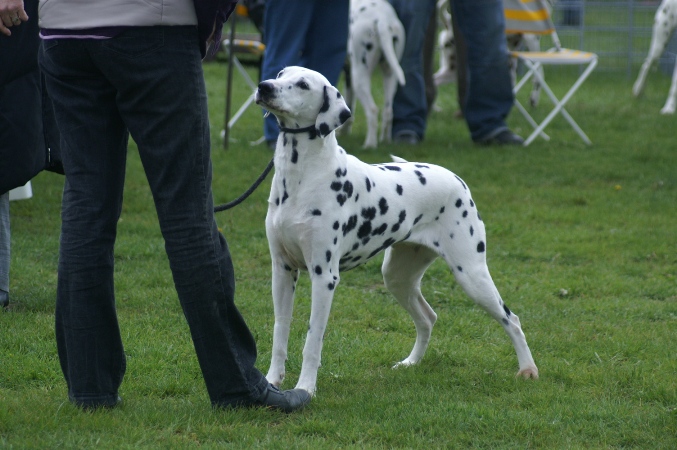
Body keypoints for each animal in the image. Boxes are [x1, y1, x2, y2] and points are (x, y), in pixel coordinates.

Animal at [254, 65, 540, 396]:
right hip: (397, 277)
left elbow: (313, 340)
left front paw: (305, 389)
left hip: (472, 276)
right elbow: (280, 331)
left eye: (302, 84)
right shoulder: (282, 270)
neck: (301, 177)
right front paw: (272, 381)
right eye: (280, 73)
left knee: (511, 319)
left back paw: (528, 369)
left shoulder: (324, 277)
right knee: (428, 318)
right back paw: (411, 363)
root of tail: (456, 178)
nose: (264, 86)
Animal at [340, 0, 404, 149]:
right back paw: (385, 140)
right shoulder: (348, 76)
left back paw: (370, 144)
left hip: (360, 77)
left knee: (373, 110)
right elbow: (348, 107)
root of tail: (382, 18)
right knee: (388, 112)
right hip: (390, 76)